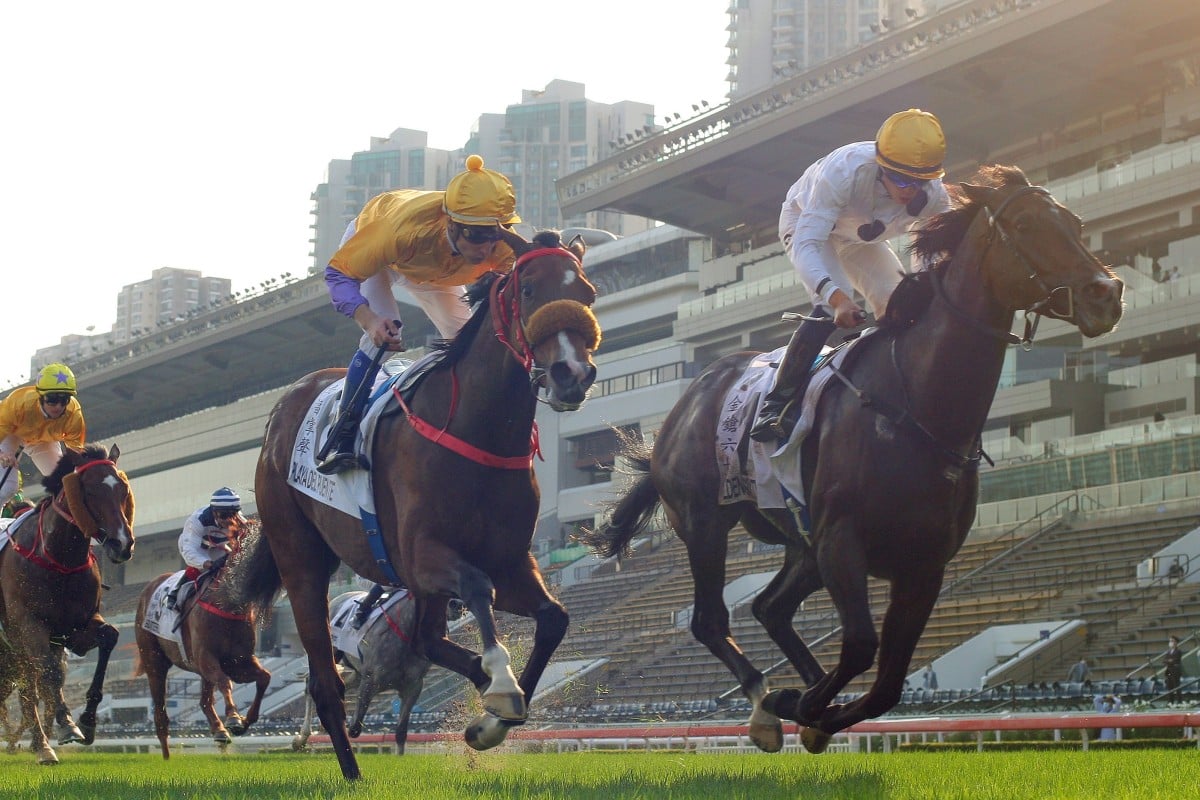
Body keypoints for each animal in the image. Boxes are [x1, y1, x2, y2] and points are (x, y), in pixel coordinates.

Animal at [0, 443, 135, 762]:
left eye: (123, 489)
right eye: (90, 490)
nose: (122, 544)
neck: (58, 557)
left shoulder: (76, 628)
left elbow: (109, 637)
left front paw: (86, 721)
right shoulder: (30, 625)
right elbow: (51, 675)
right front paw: (67, 725)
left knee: (27, 695)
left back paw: (38, 745)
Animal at [133, 527, 272, 762]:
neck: (226, 604)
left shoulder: (239, 661)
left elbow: (264, 677)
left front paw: (245, 721)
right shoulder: (207, 657)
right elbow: (225, 682)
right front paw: (234, 718)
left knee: (205, 701)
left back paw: (219, 731)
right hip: (154, 662)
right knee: (160, 713)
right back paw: (167, 756)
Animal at [228, 227, 600, 777]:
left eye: (588, 295)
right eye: (530, 289)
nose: (572, 373)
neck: (477, 430)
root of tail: (285, 404)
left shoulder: (511, 561)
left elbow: (553, 619)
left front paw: (489, 721)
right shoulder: (425, 556)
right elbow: (477, 588)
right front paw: (500, 683)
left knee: (424, 639)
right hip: (301, 560)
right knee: (325, 681)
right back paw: (352, 772)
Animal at [588, 164, 1123, 758]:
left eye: (1075, 222)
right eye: (1026, 224)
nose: (1106, 294)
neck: (917, 404)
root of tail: (684, 404)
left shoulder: (924, 564)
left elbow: (888, 680)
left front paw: (816, 713)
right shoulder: (844, 541)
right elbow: (863, 646)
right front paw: (798, 703)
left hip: (803, 546)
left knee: (769, 608)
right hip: (707, 523)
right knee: (711, 619)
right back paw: (765, 703)